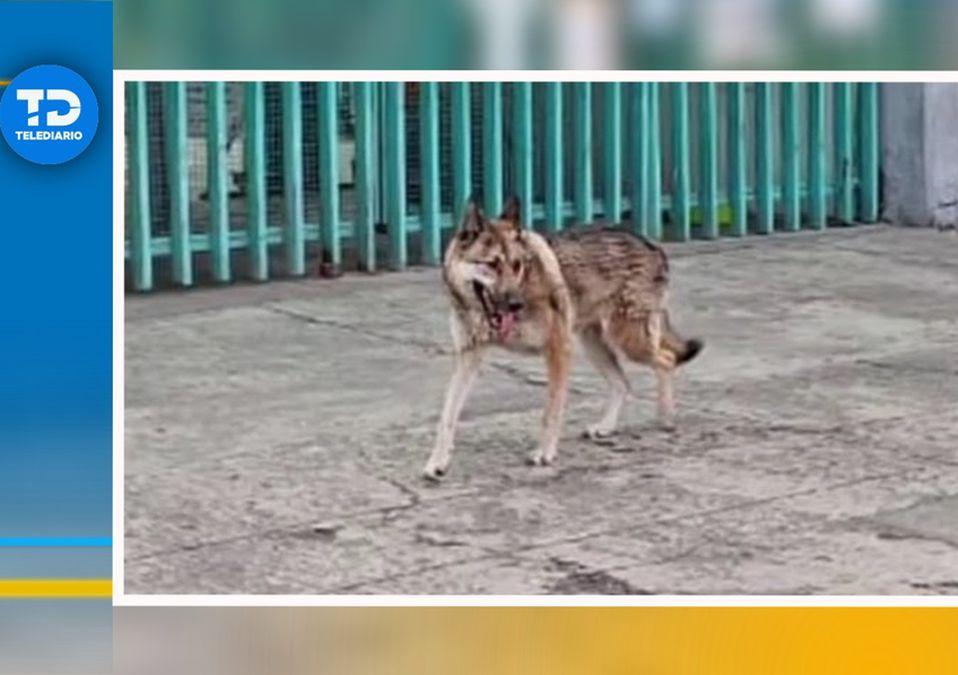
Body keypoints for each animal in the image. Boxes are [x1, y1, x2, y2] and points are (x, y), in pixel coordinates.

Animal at [423, 196, 703, 480]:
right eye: (492, 264)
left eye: (517, 265)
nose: (515, 304)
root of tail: (652, 243)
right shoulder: (468, 358)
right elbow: (447, 416)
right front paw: (438, 461)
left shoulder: (557, 349)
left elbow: (551, 411)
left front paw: (545, 453)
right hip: (593, 344)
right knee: (622, 383)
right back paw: (606, 426)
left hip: (629, 341)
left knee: (666, 359)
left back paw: (665, 418)